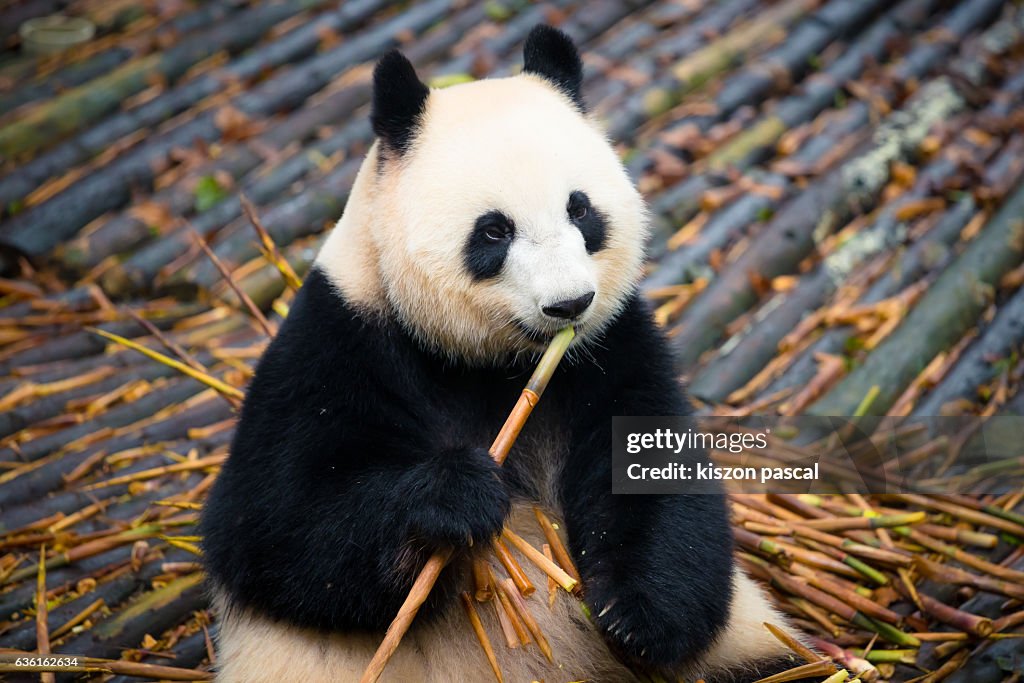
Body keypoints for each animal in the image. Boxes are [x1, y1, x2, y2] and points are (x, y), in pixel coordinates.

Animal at [199, 24, 806, 679]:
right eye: (494, 231)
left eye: (580, 209)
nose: (570, 305)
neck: (494, 363)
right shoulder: (337, 342)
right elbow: (272, 524)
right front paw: (458, 492)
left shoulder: (613, 345)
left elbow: (655, 468)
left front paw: (639, 619)